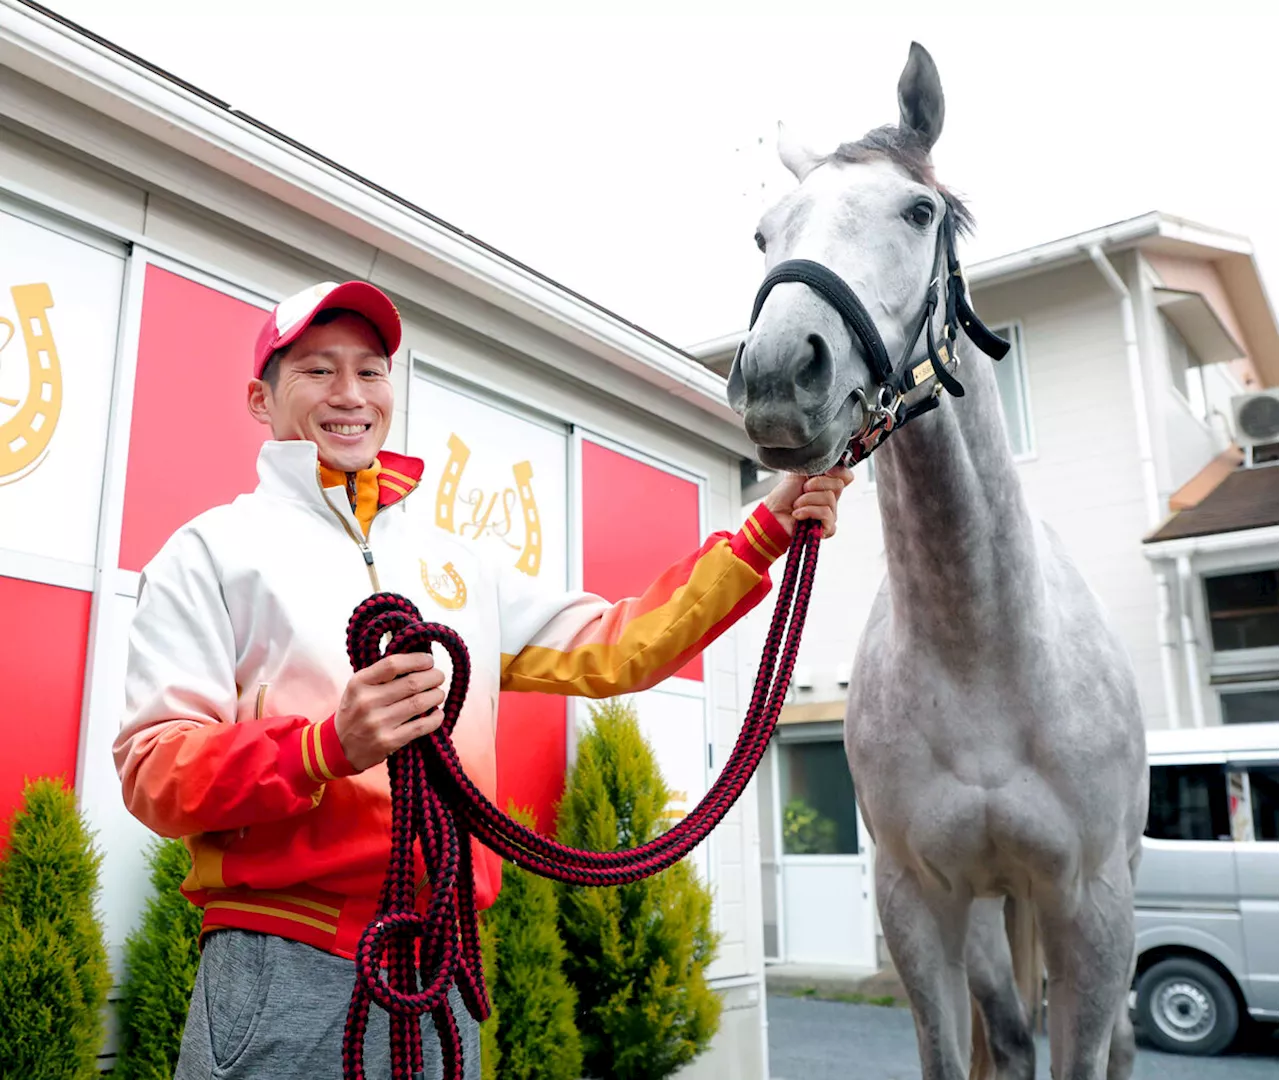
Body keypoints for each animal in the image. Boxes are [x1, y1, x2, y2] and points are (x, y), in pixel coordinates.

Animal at [732, 46, 1152, 1080]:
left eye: (917, 211)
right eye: (765, 234)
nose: (777, 374)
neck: (985, 653)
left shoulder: (1092, 908)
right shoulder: (918, 900)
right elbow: (957, 1052)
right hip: (991, 919)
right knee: (1008, 1033)